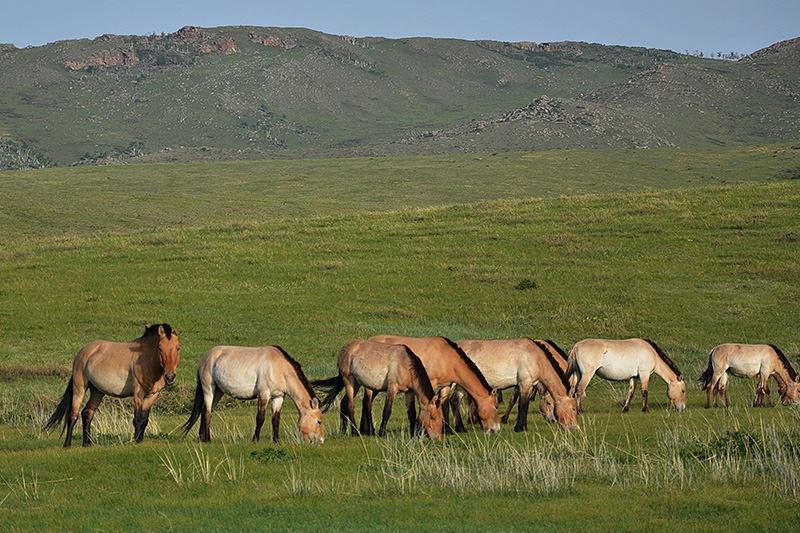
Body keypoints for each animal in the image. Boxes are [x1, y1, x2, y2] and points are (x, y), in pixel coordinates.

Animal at [44, 324, 181, 447]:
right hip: (79, 388)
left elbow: (144, 419)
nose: (170, 377)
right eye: (160, 348)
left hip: (97, 392)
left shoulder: (152, 395)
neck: (146, 359)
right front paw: (135, 441)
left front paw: (140, 440)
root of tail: (82, 352)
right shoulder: (138, 393)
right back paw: (67, 444)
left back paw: (87, 443)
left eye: (178, 348)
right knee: (73, 415)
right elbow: (137, 419)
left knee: (87, 413)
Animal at [182, 345, 324, 444]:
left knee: (205, 411)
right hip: (209, 390)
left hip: (218, 392)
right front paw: (255, 439)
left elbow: (276, 419)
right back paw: (207, 439)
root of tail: (204, 358)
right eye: (319, 422)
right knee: (207, 413)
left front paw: (276, 441)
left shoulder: (278, 397)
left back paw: (201, 438)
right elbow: (260, 418)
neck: (279, 367)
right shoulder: (264, 394)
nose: (321, 440)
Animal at [313, 340, 444, 440]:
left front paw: (413, 435)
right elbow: (387, 411)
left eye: (441, 418)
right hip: (349, 380)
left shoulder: (409, 392)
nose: (437, 438)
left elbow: (412, 413)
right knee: (350, 405)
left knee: (344, 403)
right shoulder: (392, 389)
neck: (406, 365)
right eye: (433, 417)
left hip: (357, 383)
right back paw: (356, 432)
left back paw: (343, 430)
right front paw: (381, 433)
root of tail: (344, 348)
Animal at [369, 335, 501, 434]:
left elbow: (445, 406)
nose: (496, 430)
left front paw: (447, 431)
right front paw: (421, 430)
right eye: (496, 407)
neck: (446, 358)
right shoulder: (429, 383)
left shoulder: (446, 386)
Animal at [451, 338, 579, 432]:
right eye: (573, 408)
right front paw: (520, 427)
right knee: (454, 401)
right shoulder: (524, 384)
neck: (536, 357)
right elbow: (523, 405)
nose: (575, 428)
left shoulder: (527, 385)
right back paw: (460, 428)